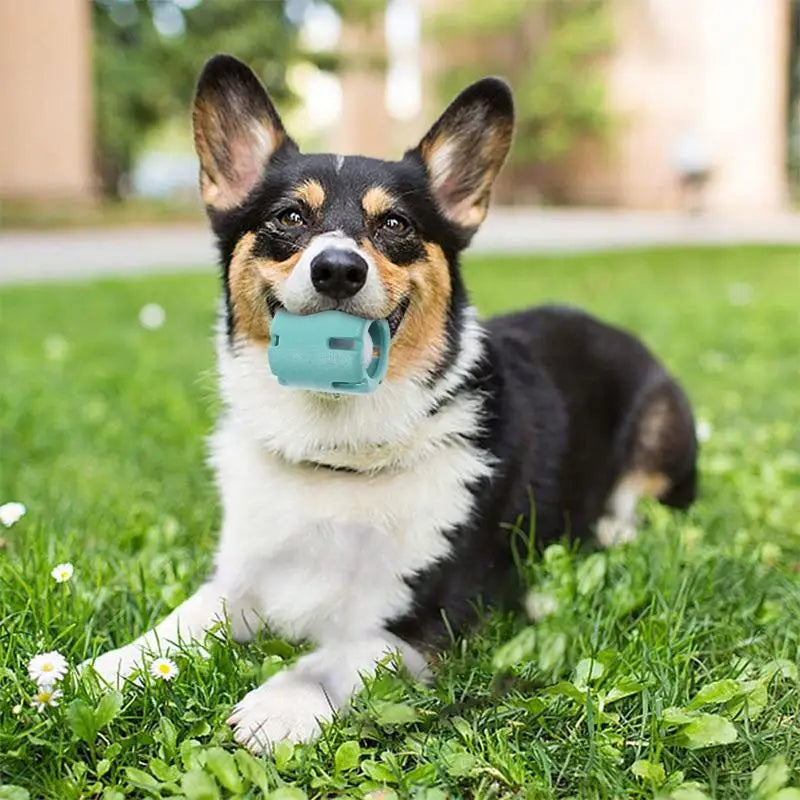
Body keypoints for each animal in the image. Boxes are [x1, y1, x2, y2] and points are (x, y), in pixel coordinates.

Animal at [86, 53, 692, 752]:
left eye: (395, 224)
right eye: (290, 217)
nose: (338, 270)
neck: (336, 451)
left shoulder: (428, 614)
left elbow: (344, 651)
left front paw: (280, 704)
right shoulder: (238, 577)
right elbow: (179, 623)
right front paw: (103, 670)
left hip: (663, 427)